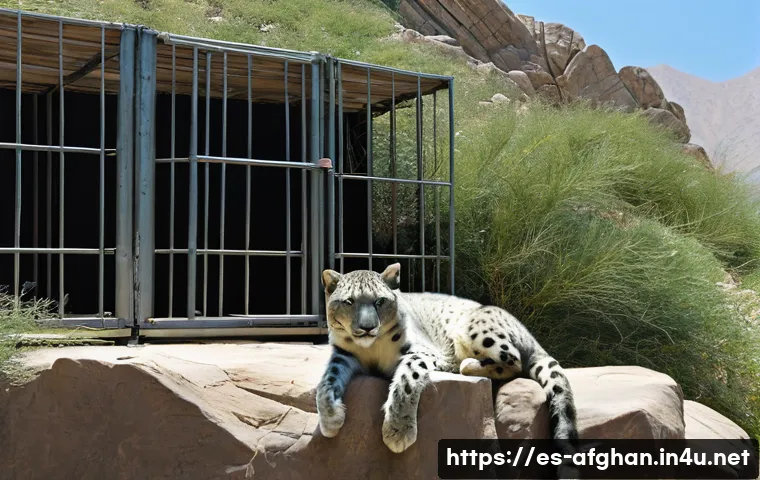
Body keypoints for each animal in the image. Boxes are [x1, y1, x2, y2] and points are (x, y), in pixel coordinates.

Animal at [315, 263, 579, 478]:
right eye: (349, 302)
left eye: (380, 301)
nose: (368, 328)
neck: (372, 350)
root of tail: (529, 334)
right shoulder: (343, 354)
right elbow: (326, 381)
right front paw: (331, 420)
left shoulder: (419, 351)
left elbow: (406, 381)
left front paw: (398, 432)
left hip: (478, 329)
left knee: (514, 360)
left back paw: (464, 365)